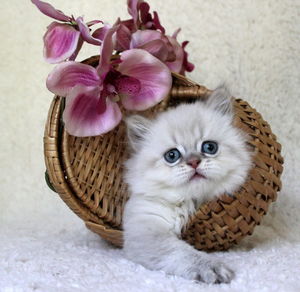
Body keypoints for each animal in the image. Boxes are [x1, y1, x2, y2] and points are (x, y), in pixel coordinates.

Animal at [121, 85, 251, 282]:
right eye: (172, 155)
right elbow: (181, 252)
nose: (194, 162)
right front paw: (211, 268)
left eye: (209, 147)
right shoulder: (147, 228)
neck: (192, 202)